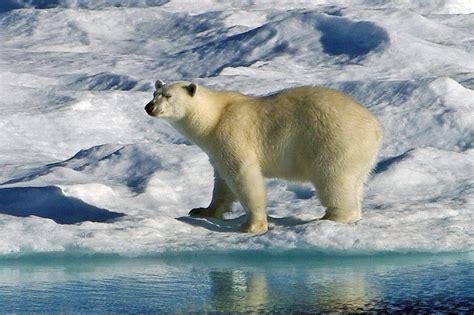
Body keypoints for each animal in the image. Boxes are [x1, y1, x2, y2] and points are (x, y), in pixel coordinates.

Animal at [144, 81, 382, 235]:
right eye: (154, 93)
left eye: (168, 96)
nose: (149, 107)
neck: (214, 117)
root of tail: (375, 126)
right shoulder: (215, 148)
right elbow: (221, 181)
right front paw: (202, 210)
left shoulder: (232, 133)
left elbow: (243, 175)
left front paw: (252, 226)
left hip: (334, 140)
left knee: (333, 178)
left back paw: (330, 217)